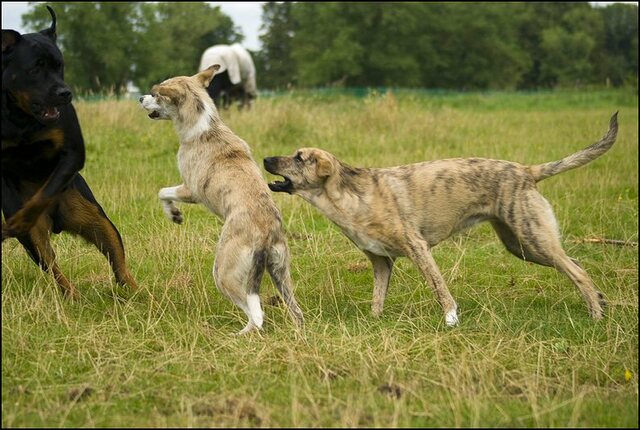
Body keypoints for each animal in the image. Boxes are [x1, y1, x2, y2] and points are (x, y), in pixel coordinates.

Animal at [1, 5, 137, 298]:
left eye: (59, 66)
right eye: (35, 69)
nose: (66, 93)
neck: (23, 118)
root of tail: (58, 219)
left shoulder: (73, 153)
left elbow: (46, 190)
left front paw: (21, 216)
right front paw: (17, 219)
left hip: (98, 220)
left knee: (118, 262)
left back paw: (136, 291)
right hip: (35, 242)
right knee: (53, 268)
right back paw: (71, 295)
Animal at [139, 65, 304, 334]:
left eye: (156, 94)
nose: (140, 98)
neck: (205, 126)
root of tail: (265, 233)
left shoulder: (191, 190)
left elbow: (163, 191)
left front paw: (174, 214)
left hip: (224, 274)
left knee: (256, 314)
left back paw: (240, 334)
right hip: (280, 272)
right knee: (295, 311)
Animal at [262, 113, 616, 326]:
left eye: (299, 158)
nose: (265, 158)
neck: (350, 196)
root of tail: (527, 171)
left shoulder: (418, 248)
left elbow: (439, 288)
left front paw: (451, 320)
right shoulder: (381, 262)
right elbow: (377, 299)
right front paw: (374, 322)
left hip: (532, 238)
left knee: (578, 273)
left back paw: (596, 316)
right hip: (524, 246)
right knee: (576, 265)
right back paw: (599, 302)